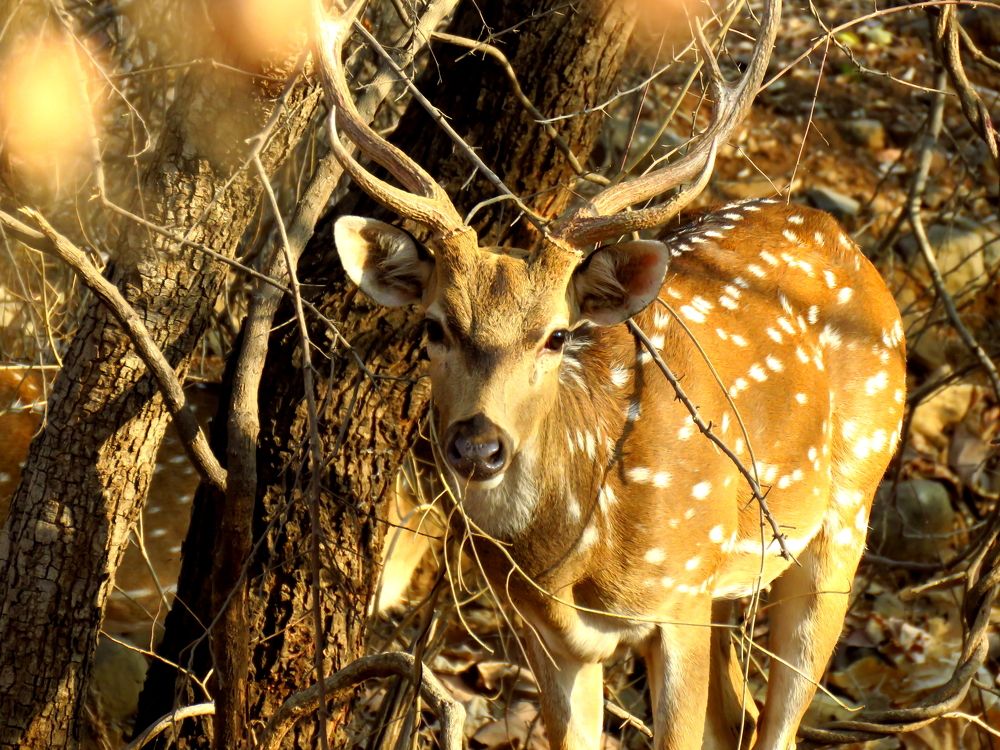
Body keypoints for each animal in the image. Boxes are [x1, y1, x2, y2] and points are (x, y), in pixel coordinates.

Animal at [315, 0, 907, 747]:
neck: (576, 549)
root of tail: (844, 240)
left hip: (847, 512)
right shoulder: (548, 636)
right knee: (738, 719)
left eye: (557, 335)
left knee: (779, 723)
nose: (478, 444)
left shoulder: (680, 598)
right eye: (434, 327)